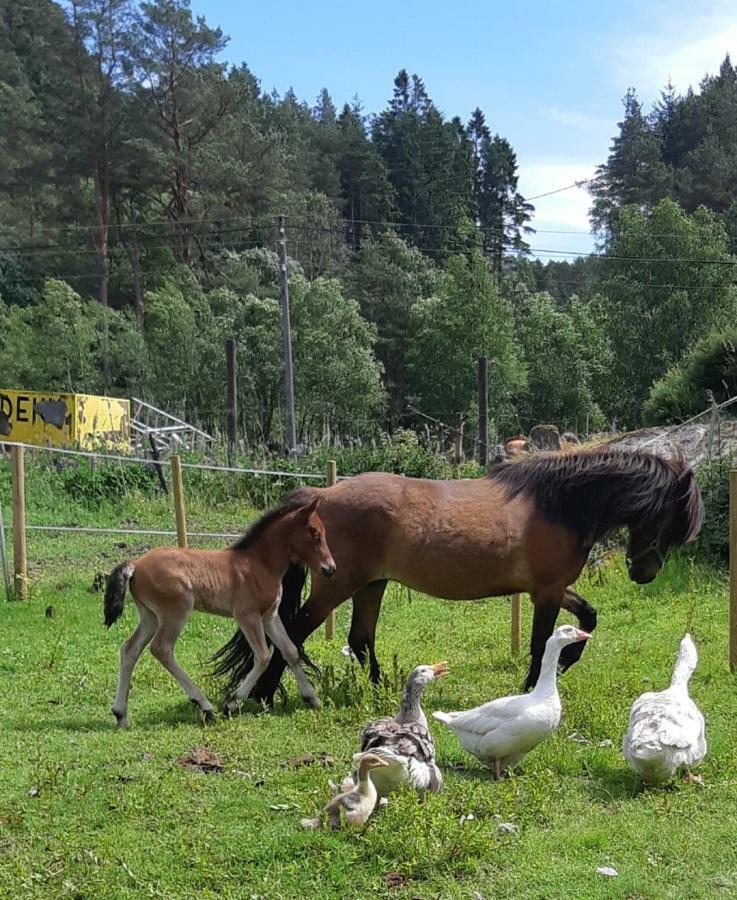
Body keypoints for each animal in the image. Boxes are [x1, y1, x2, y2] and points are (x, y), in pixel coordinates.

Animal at [101, 496, 336, 728]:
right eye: (314, 533)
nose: (330, 568)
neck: (259, 563)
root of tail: (136, 564)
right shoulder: (247, 616)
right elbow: (262, 656)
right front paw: (232, 704)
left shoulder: (269, 616)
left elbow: (290, 651)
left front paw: (313, 698)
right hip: (176, 611)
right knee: (161, 649)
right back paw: (204, 706)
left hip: (150, 616)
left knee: (130, 649)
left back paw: (121, 715)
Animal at [213, 450, 700, 704]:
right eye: (671, 520)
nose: (644, 572)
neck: (559, 504)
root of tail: (321, 496)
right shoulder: (545, 592)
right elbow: (540, 643)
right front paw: (534, 688)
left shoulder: (552, 589)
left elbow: (588, 617)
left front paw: (567, 662)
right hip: (338, 585)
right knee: (293, 633)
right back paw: (265, 695)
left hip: (371, 585)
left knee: (360, 638)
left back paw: (384, 692)